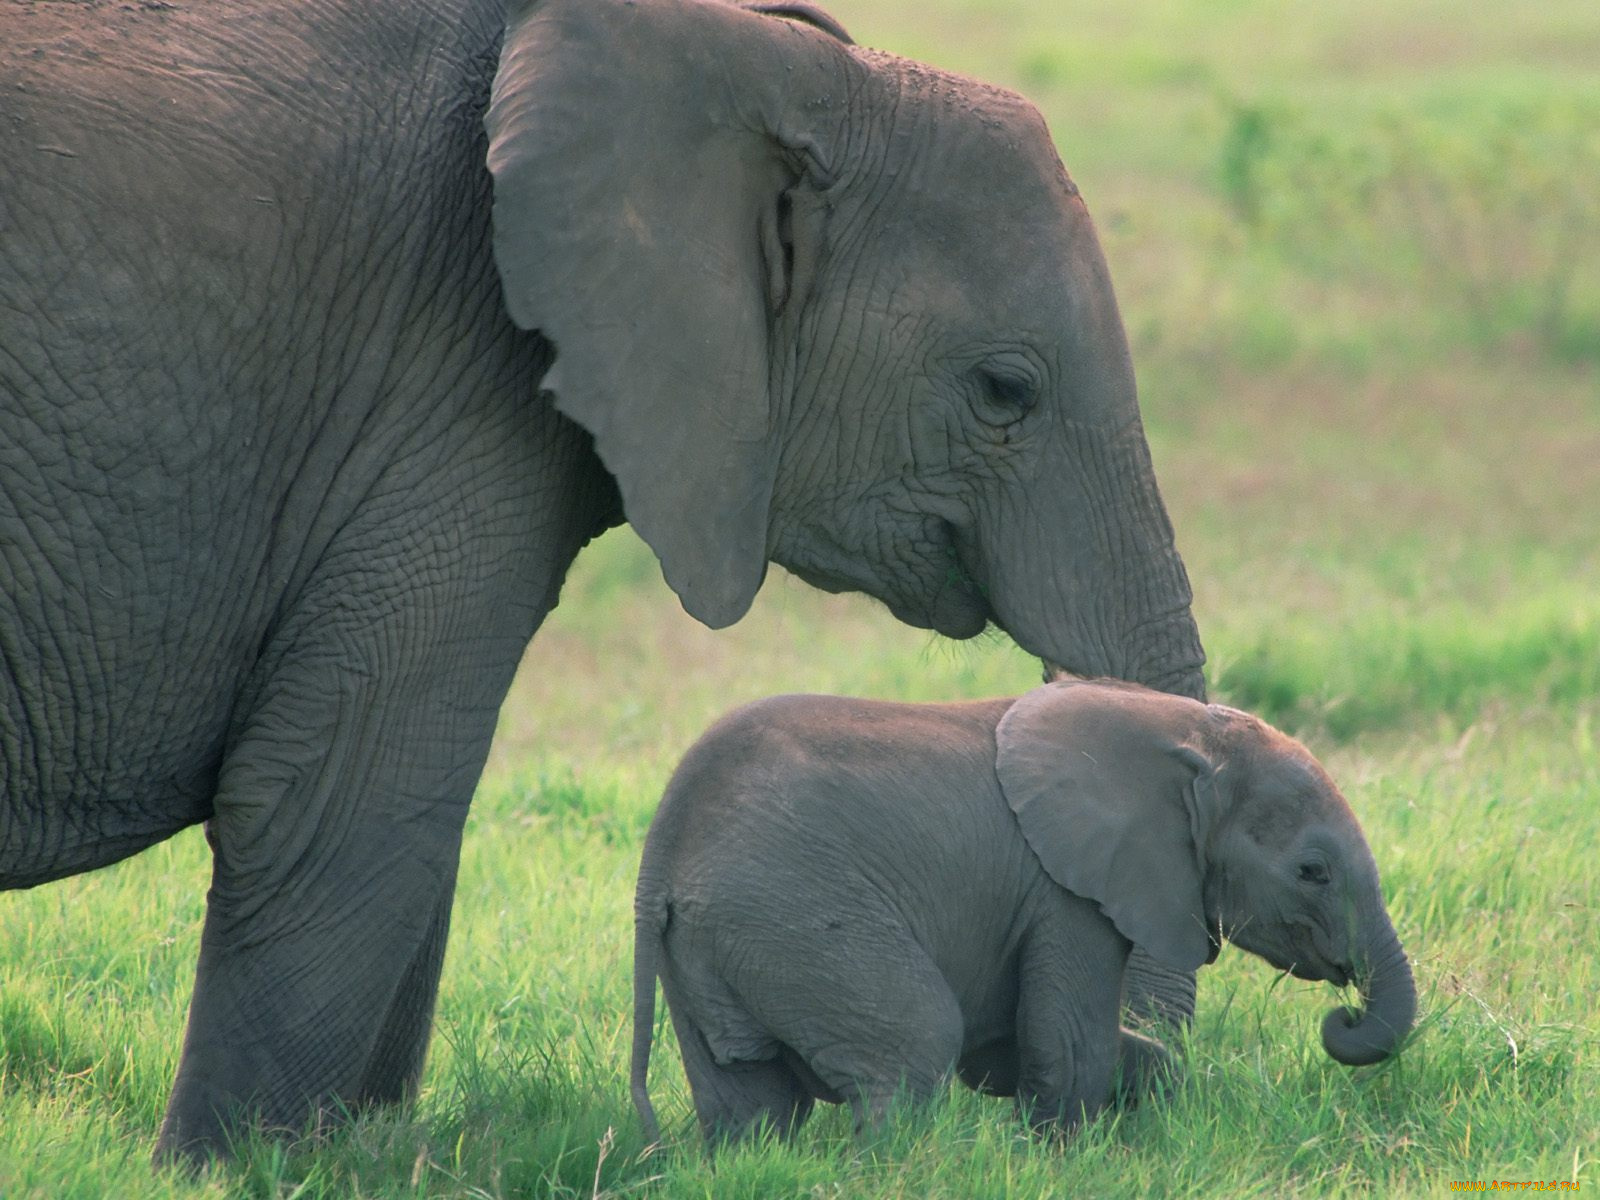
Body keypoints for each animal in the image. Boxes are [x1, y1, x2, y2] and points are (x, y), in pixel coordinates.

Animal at [0, 0, 1207, 1165]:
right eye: (1005, 390)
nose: (1142, 1076)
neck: (770, 61)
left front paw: (365, 1151)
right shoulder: (443, 386)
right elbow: (340, 801)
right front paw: (230, 1171)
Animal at [631, 679, 1415, 1144]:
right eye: (1312, 872)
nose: (1345, 1015)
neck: (1185, 733)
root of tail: (662, 851)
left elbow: (1025, 1048)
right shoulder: (1066, 889)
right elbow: (1067, 1044)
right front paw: (1064, 1160)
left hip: (713, 943)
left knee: (748, 1101)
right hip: (791, 913)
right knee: (914, 1046)